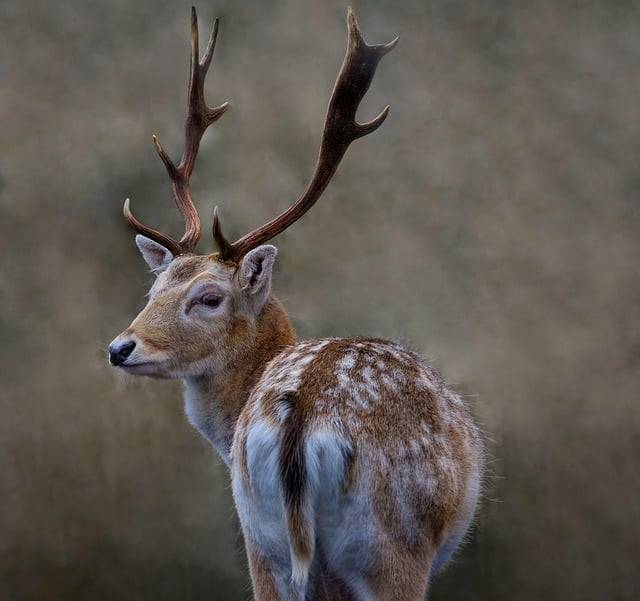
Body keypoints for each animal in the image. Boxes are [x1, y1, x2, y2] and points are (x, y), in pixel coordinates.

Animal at [107, 7, 482, 596]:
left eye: (208, 297)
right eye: (154, 289)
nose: (120, 348)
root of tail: (302, 421)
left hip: (262, 537)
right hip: (391, 546)